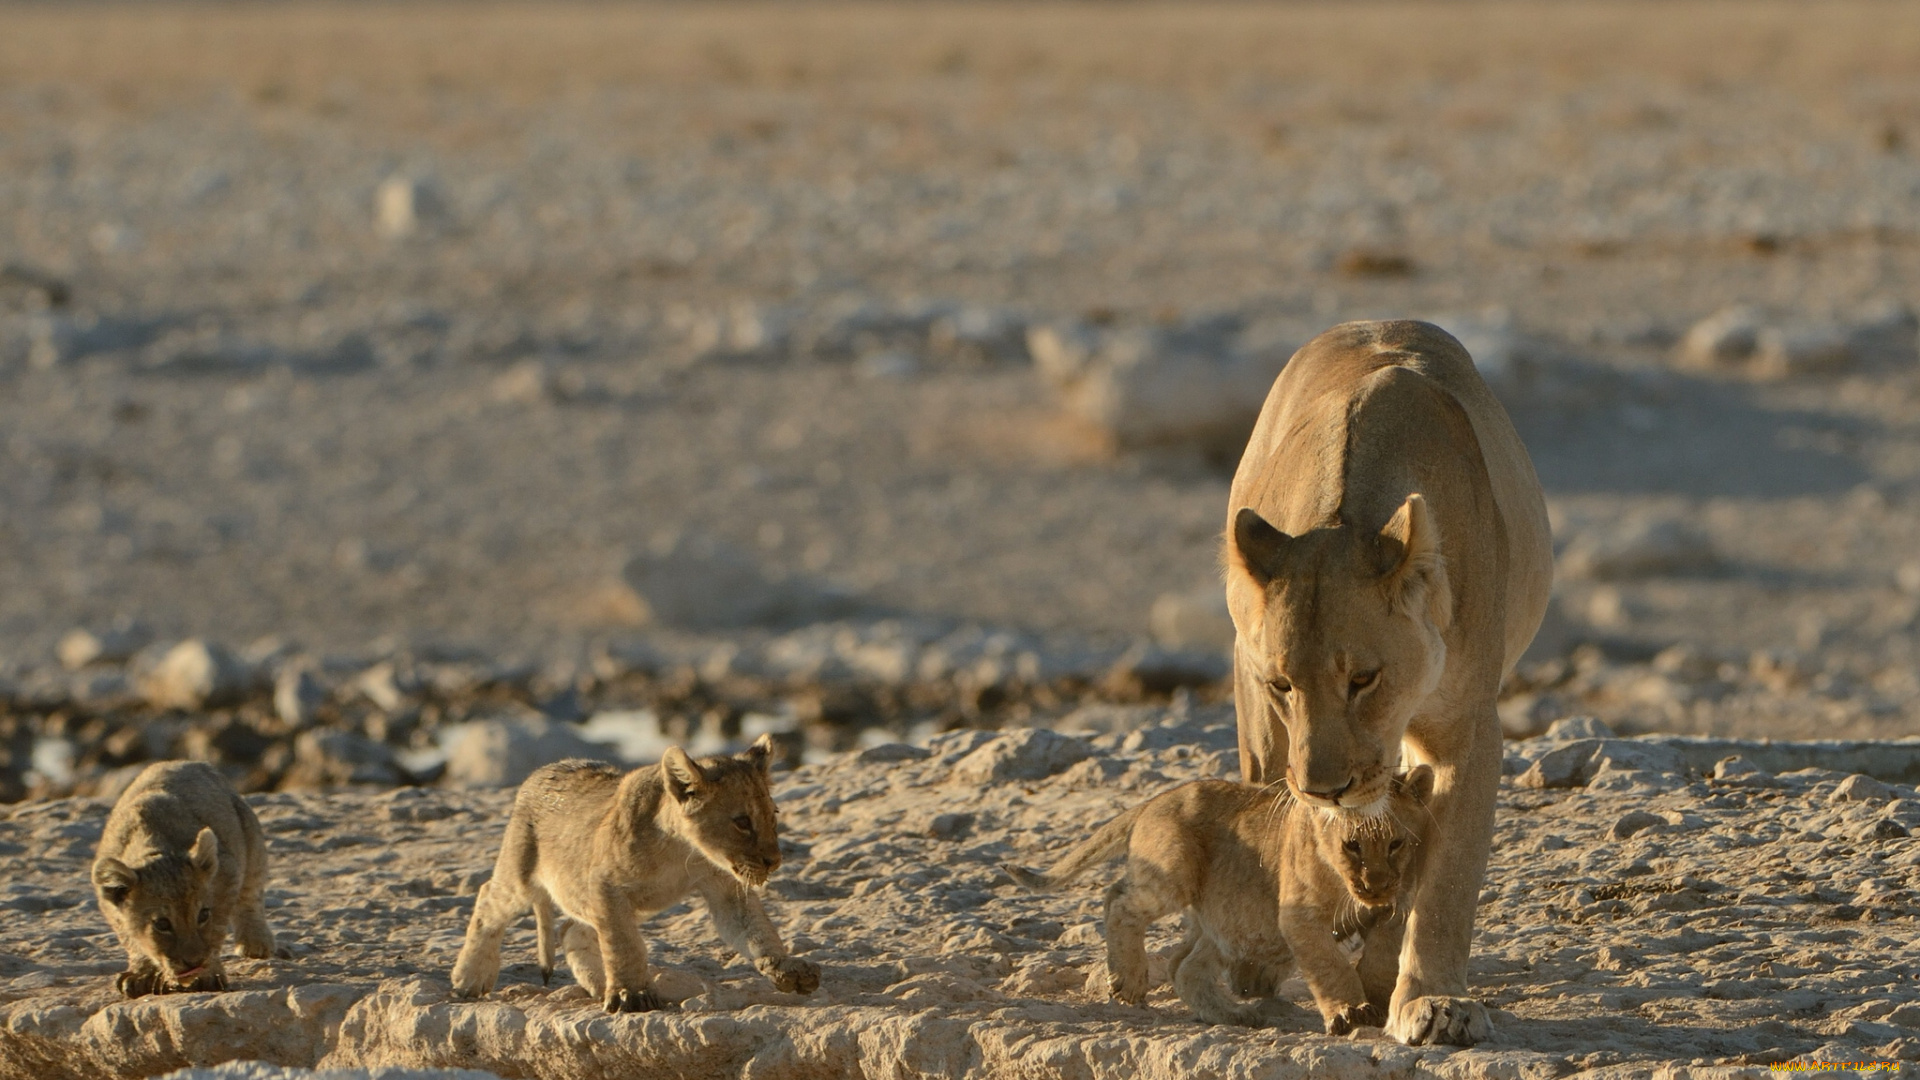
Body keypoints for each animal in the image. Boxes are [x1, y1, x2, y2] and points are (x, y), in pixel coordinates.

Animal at [1221, 319, 1551, 1045]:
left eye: (1365, 678)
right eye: (1282, 684)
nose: (1324, 788)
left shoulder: (1467, 730)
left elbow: (1443, 879)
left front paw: (1432, 1002)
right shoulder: (1259, 701)